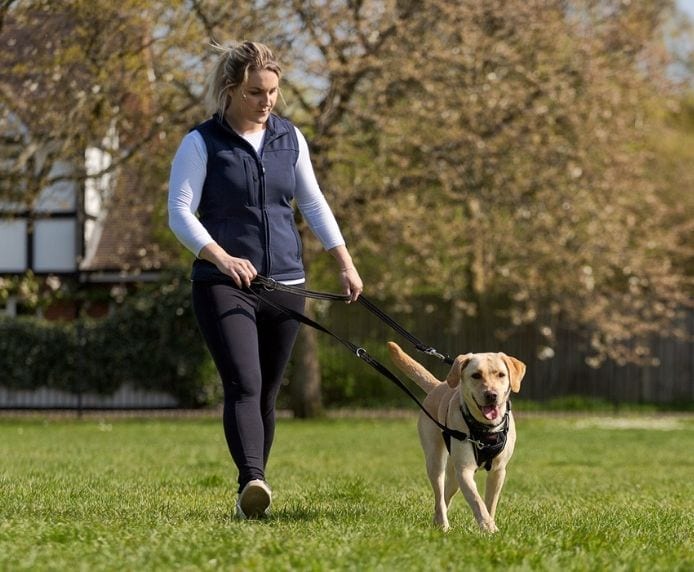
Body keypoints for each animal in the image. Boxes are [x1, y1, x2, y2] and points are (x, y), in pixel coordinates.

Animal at [386, 340, 528, 532]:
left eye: (501, 374)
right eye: (476, 375)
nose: (491, 395)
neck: (486, 429)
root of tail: (439, 385)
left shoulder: (498, 471)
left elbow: (490, 503)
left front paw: (489, 525)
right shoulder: (465, 470)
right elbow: (477, 501)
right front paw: (488, 527)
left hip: (453, 474)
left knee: (445, 496)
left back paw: (437, 521)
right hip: (435, 459)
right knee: (439, 494)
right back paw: (443, 525)